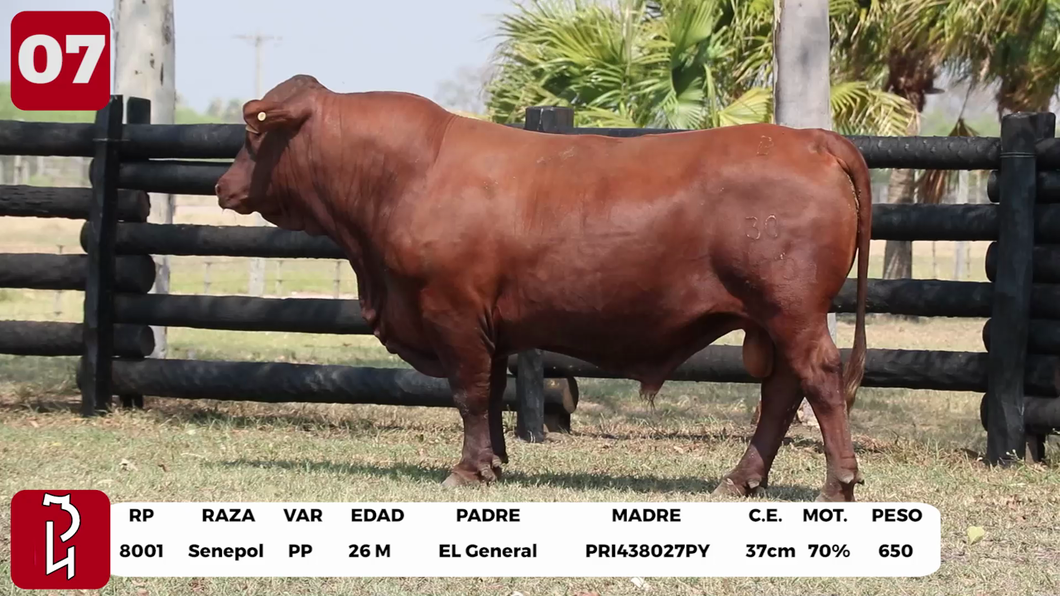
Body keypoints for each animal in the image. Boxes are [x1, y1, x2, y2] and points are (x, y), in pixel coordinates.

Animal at [215, 75, 871, 502]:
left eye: (254, 131)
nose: (224, 186)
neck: (408, 174)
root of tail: (810, 138)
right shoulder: (489, 324)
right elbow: (492, 391)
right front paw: (494, 463)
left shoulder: (451, 311)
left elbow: (469, 392)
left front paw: (466, 470)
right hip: (773, 318)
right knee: (782, 390)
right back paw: (741, 479)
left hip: (791, 310)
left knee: (819, 379)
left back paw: (837, 484)